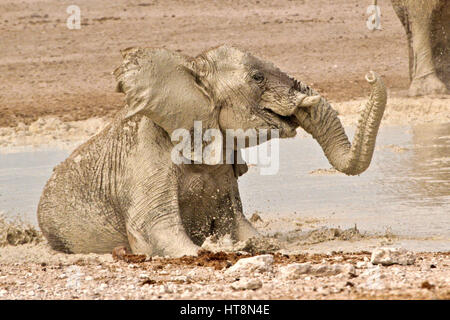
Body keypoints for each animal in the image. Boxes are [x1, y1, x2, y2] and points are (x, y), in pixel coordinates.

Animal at [37, 45, 386, 258]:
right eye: (257, 78)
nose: (371, 74)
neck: (190, 68)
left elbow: (237, 222)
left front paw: (258, 243)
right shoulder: (147, 154)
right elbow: (154, 227)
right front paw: (210, 251)